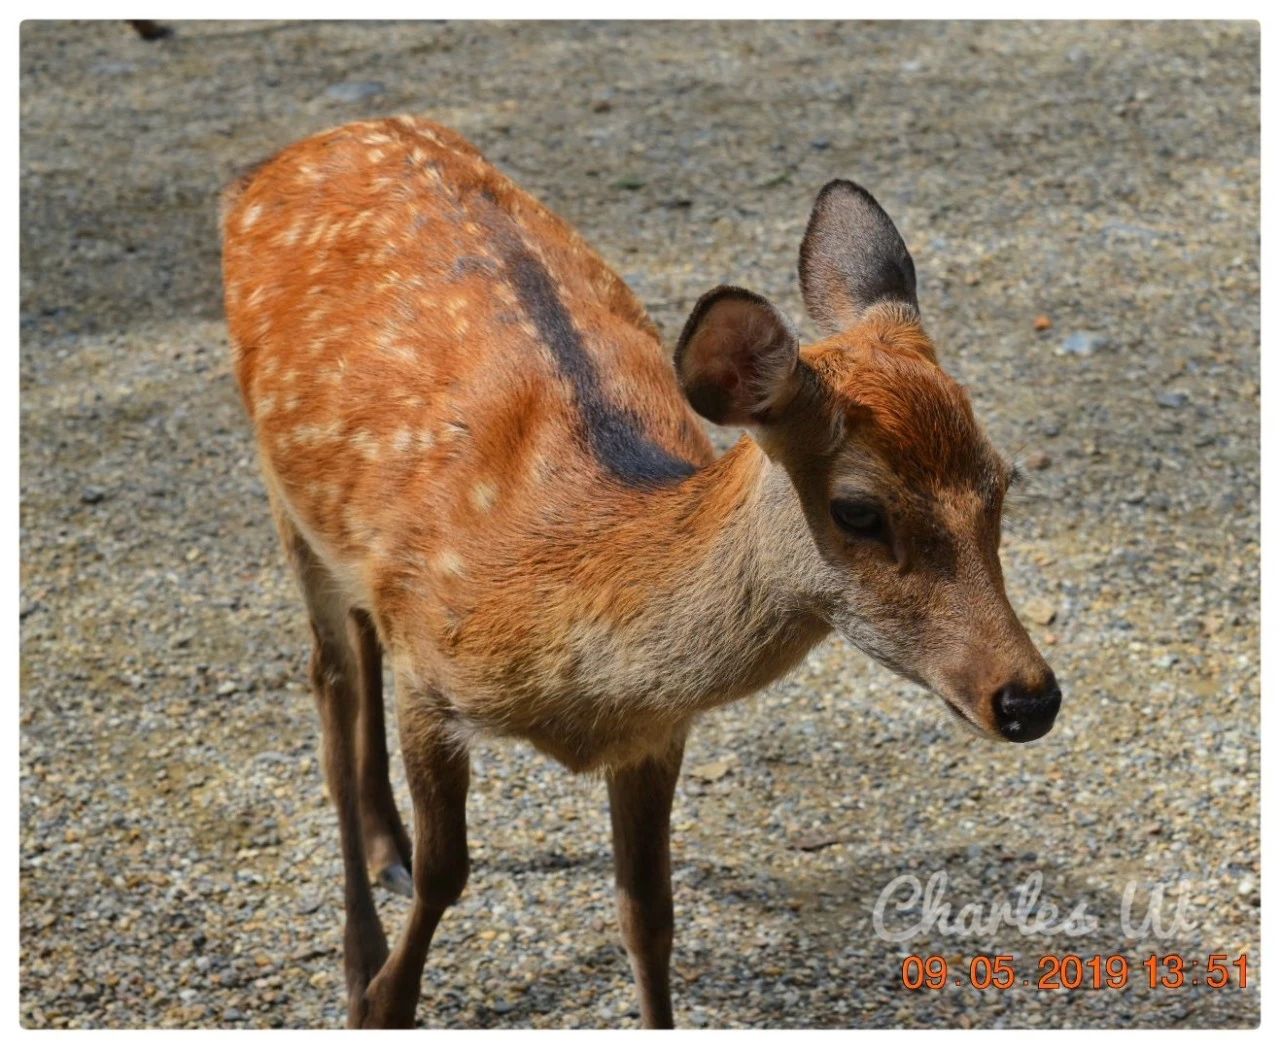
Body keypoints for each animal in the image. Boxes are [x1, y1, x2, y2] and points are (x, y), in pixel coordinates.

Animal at [220, 112, 1059, 1023]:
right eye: (858, 511)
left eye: (1002, 479)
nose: (1029, 697)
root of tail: (279, 159)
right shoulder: (431, 673)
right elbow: (449, 871)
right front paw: (377, 998)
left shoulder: (655, 731)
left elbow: (648, 914)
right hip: (279, 486)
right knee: (330, 688)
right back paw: (359, 937)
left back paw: (386, 846)